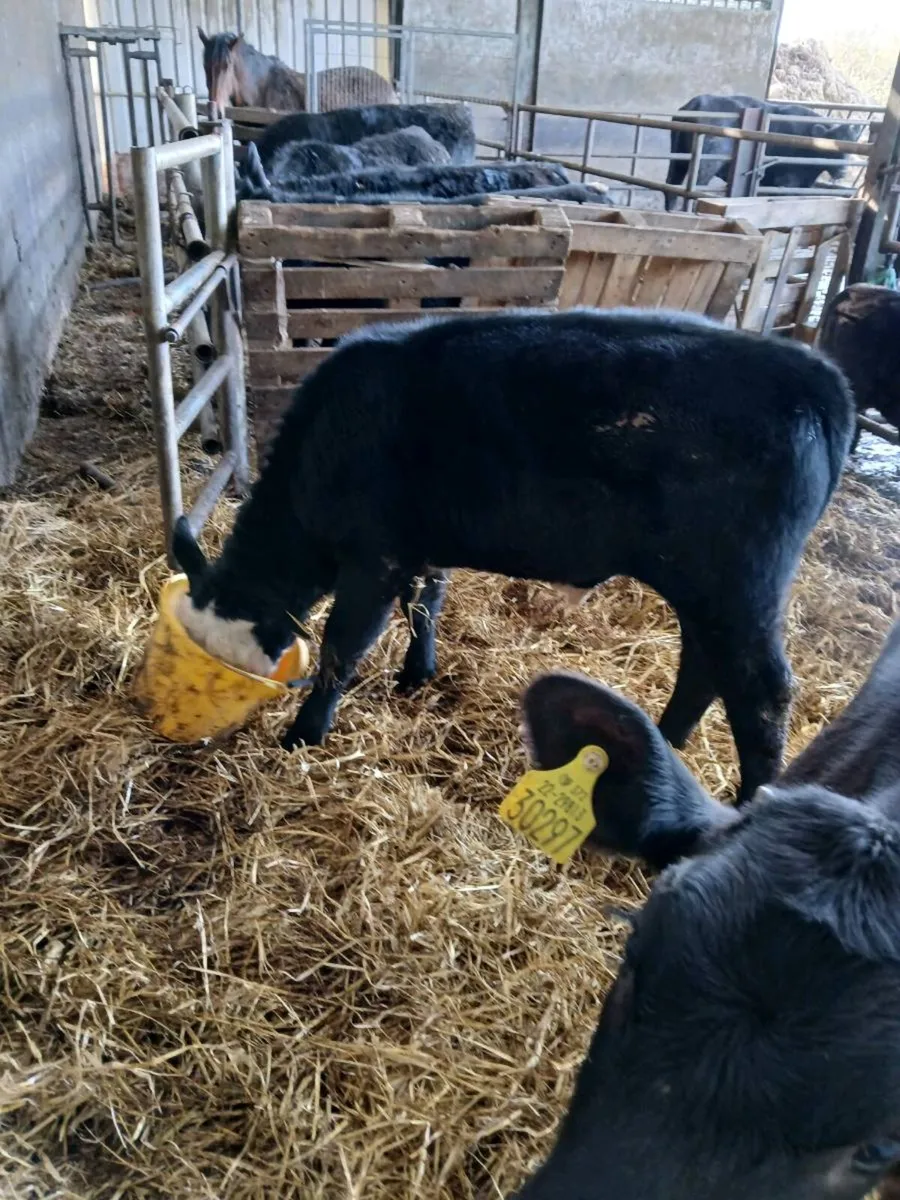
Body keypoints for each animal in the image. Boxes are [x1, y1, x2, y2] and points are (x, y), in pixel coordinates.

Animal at [169, 308, 853, 803]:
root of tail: (810, 372)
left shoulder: (373, 557)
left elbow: (344, 647)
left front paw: (303, 735)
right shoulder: (420, 543)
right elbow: (429, 600)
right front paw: (417, 674)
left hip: (739, 586)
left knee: (761, 691)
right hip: (703, 587)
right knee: (703, 667)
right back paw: (661, 743)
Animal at [665, 94, 863, 211]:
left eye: (852, 144)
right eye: (831, 144)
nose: (843, 171)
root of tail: (699, 100)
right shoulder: (786, 182)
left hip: (678, 158)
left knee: (672, 184)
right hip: (706, 164)